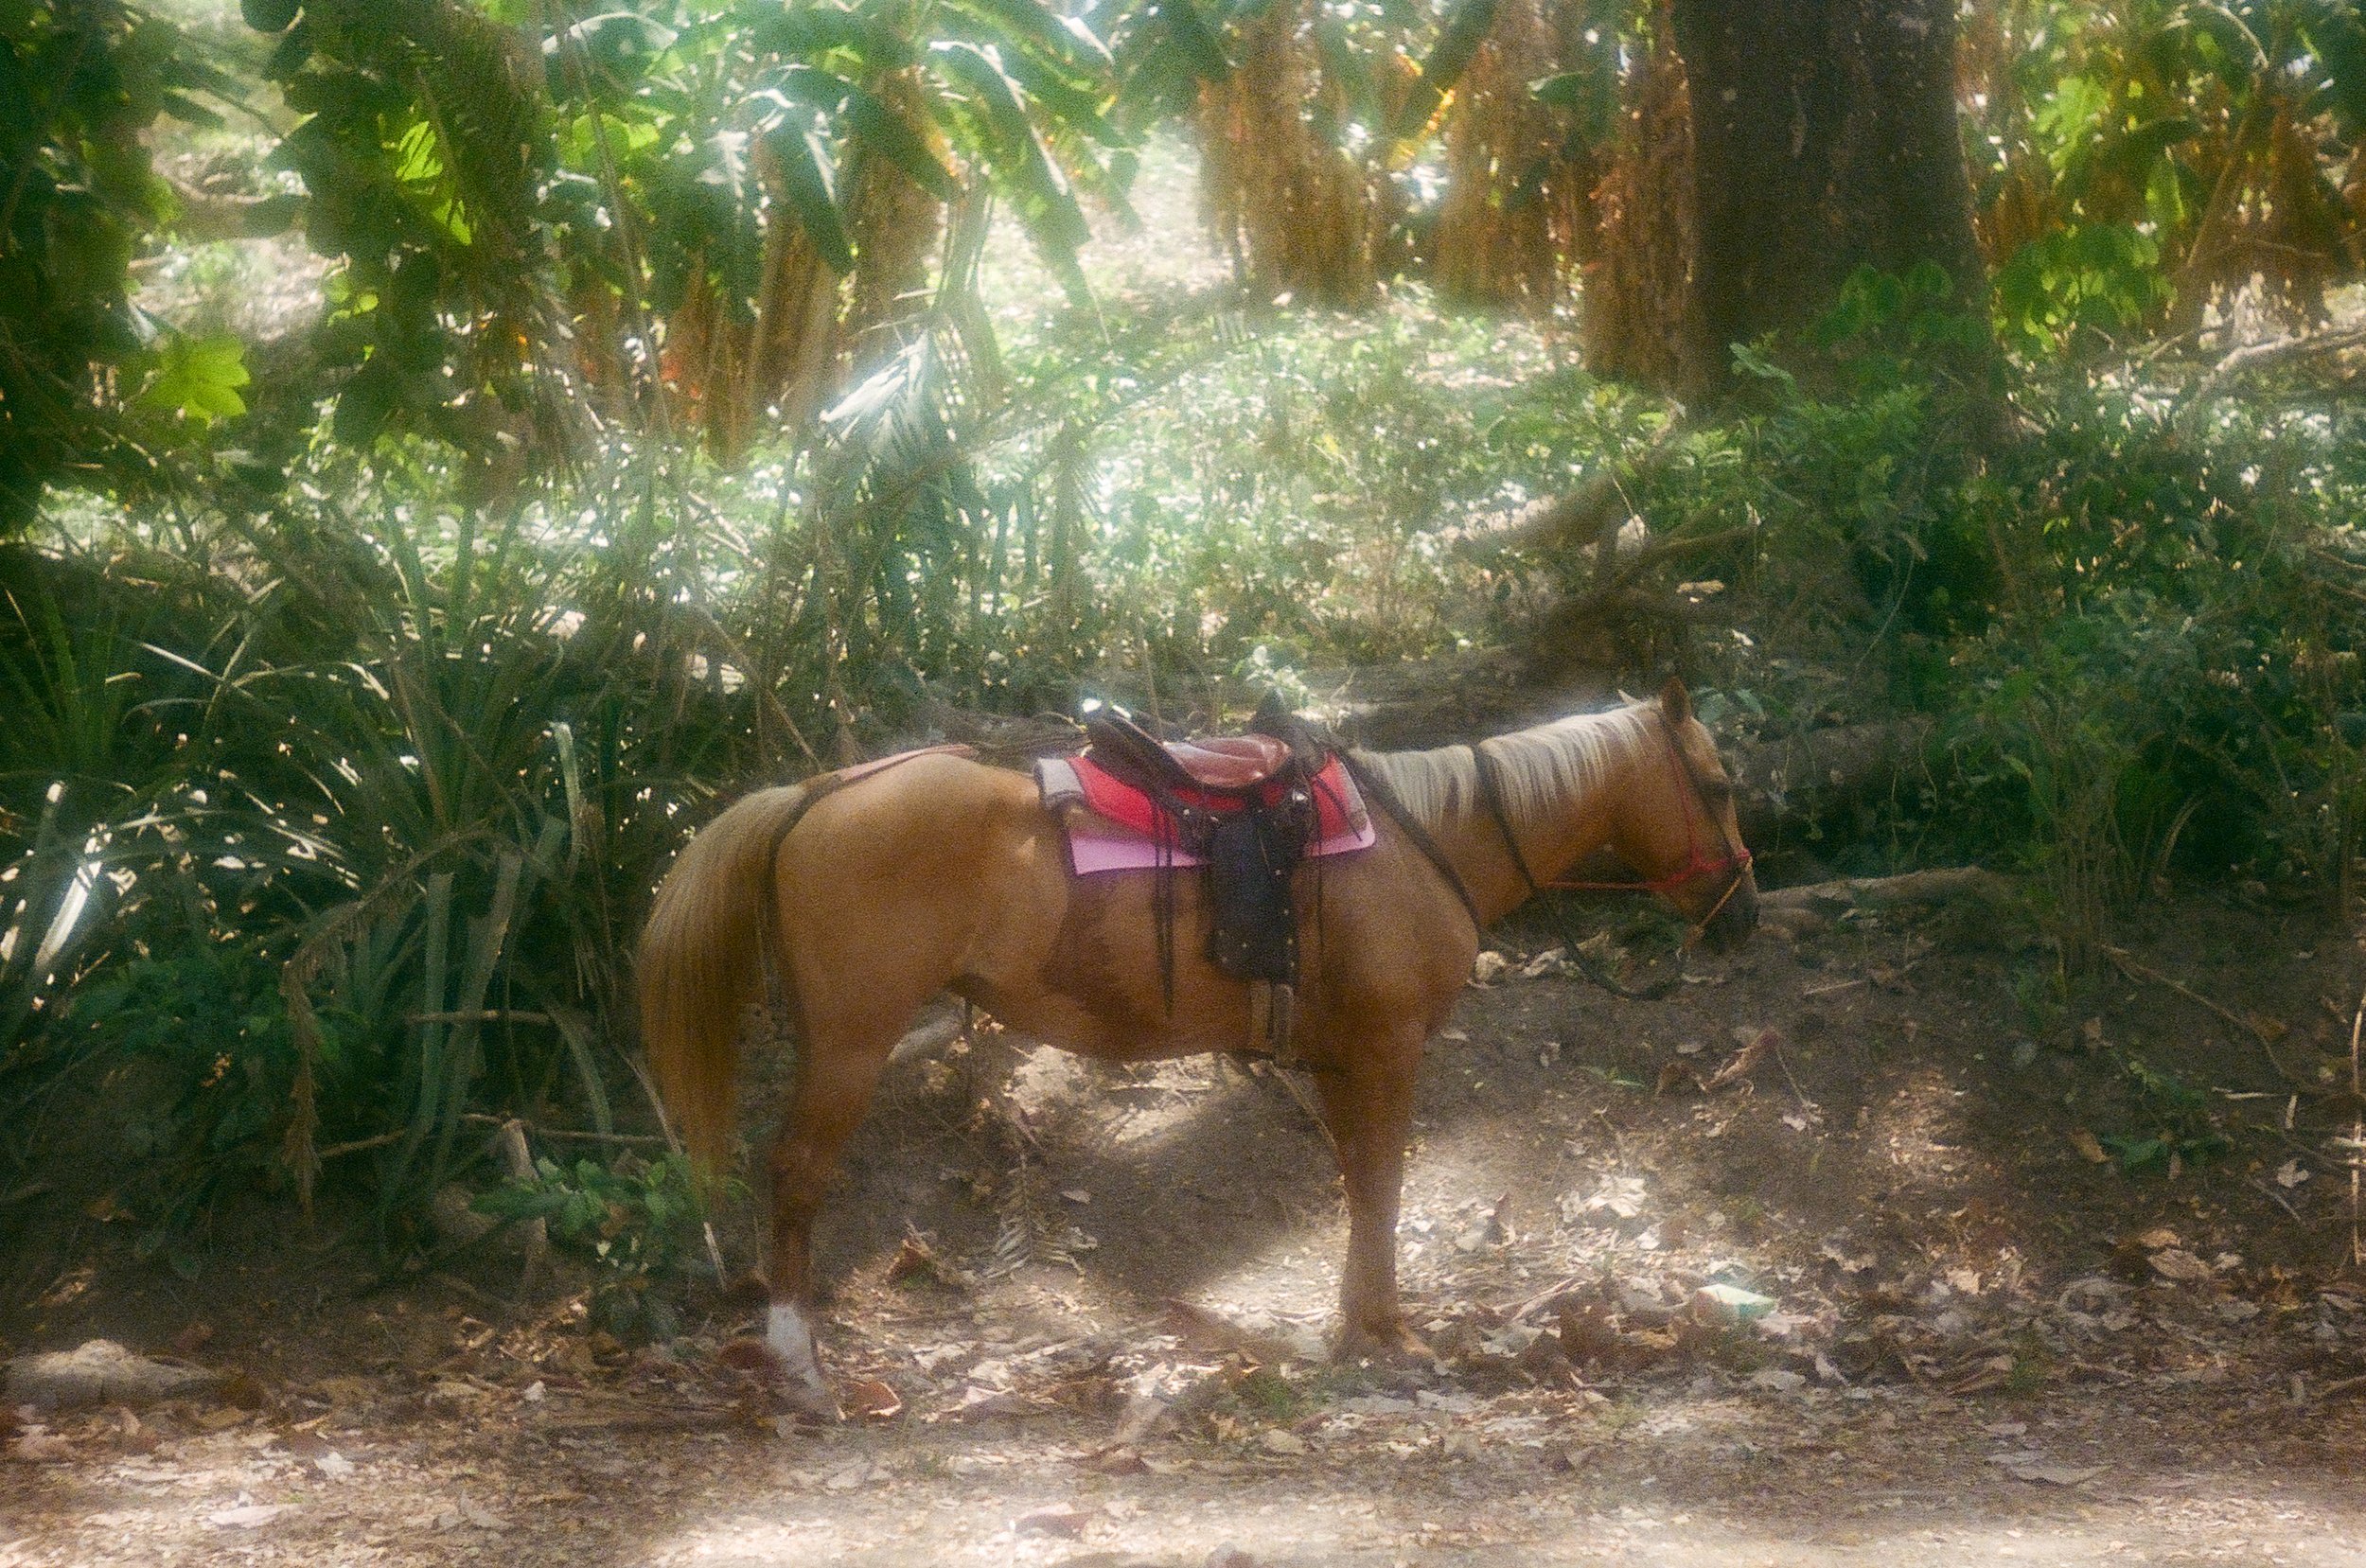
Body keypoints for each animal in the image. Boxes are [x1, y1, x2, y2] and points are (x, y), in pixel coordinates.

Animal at [638, 678, 1757, 1411]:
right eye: (1716, 782)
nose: (1743, 912)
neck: (1421, 838)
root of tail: (817, 793)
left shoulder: (1342, 1060)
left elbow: (1358, 1184)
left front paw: (1352, 1327)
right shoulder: (1388, 1048)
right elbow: (1384, 1184)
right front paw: (1390, 1334)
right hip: (849, 1046)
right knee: (795, 1175)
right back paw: (801, 1370)